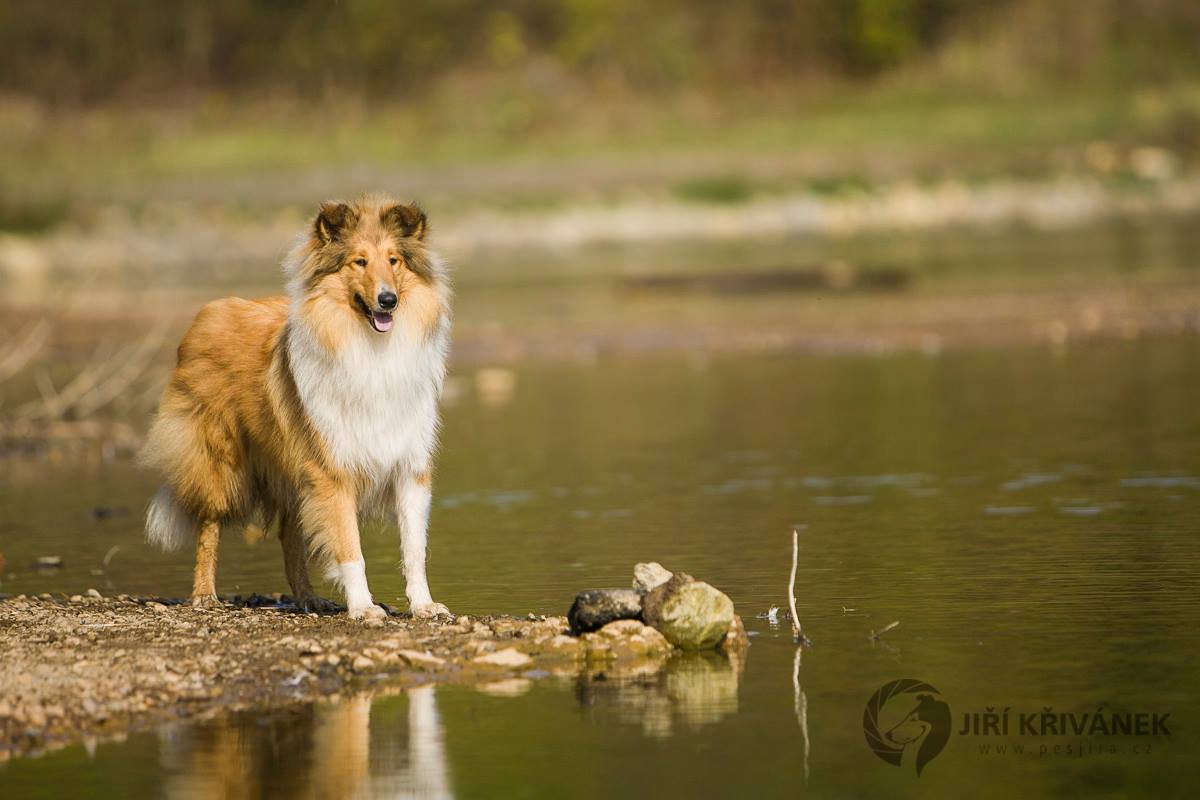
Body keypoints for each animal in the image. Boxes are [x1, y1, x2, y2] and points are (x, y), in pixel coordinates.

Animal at [137, 194, 453, 618]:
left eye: (394, 260)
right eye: (359, 262)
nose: (388, 300)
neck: (371, 347)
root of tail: (208, 314)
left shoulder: (409, 466)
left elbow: (414, 549)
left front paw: (424, 605)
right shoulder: (333, 468)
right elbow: (349, 547)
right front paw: (363, 607)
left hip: (290, 469)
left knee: (289, 534)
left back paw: (308, 597)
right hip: (220, 459)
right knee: (209, 523)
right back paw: (204, 594)